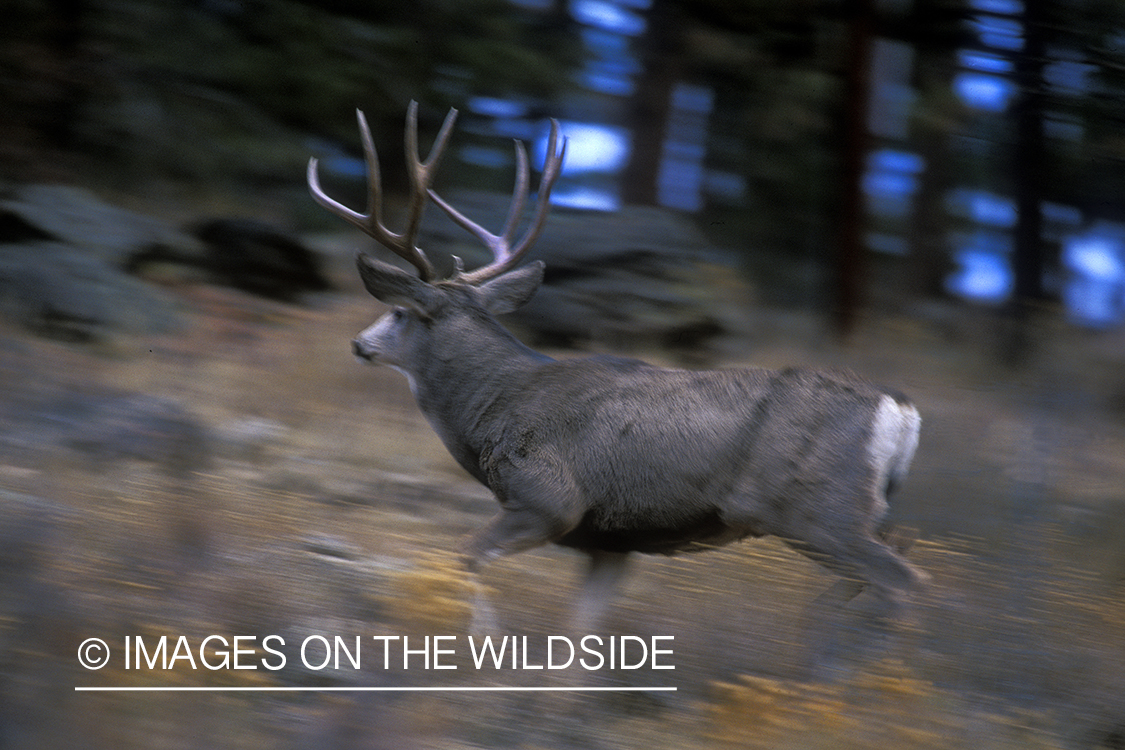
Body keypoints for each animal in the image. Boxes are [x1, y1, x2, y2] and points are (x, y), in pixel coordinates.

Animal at [307, 102, 926, 634]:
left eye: (398, 310)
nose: (359, 343)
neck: (496, 406)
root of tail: (900, 409)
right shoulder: (610, 544)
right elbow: (579, 637)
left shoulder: (548, 500)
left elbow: (465, 557)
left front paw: (485, 648)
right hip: (855, 513)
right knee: (878, 578)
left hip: (817, 508)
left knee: (902, 583)